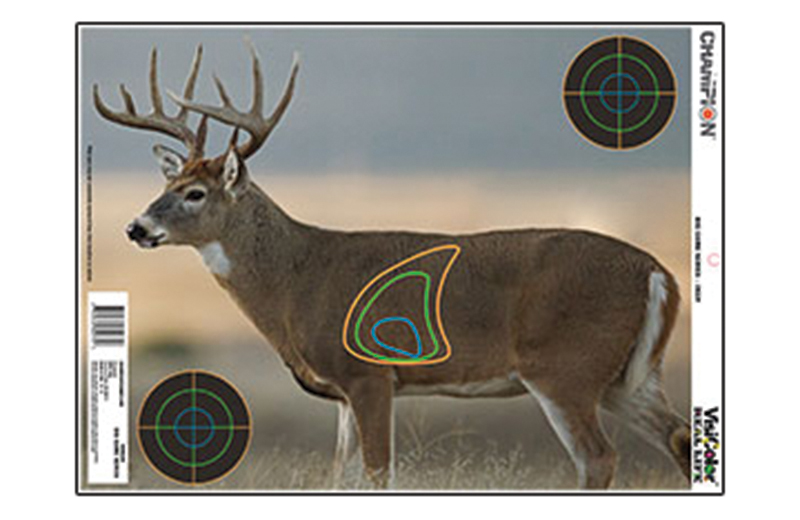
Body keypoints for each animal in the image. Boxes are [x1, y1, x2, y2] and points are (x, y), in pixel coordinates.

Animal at [93, 42, 691, 490]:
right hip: (627, 376)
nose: (136, 228)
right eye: (167, 184)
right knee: (681, 438)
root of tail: (658, 272)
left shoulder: (370, 373)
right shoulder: (342, 392)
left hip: (564, 367)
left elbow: (380, 475)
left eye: (194, 193)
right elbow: (342, 477)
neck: (297, 280)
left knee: (599, 457)